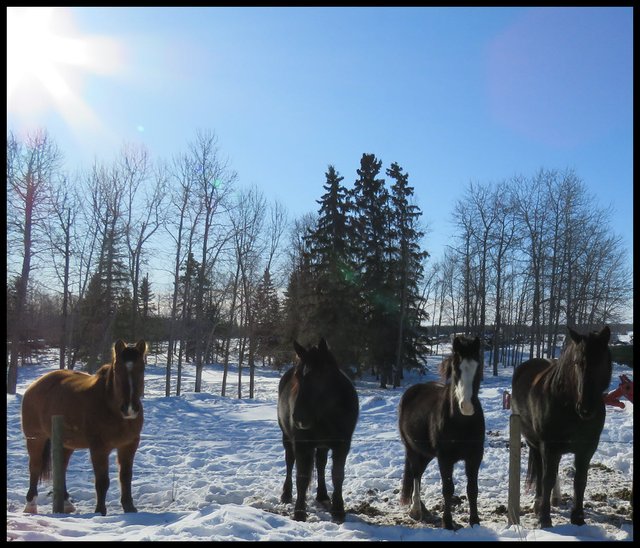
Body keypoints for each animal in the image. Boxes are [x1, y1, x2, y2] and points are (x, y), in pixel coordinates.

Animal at [21, 340, 148, 516]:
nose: (129, 408)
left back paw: (66, 503)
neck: (110, 406)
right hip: (35, 438)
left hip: (66, 443)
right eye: (118, 370)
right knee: (35, 467)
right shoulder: (99, 448)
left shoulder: (129, 445)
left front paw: (129, 508)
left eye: (141, 369)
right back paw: (31, 505)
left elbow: (125, 476)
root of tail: (34, 385)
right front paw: (100, 511)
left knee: (61, 468)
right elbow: (102, 481)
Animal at [276, 338, 360, 524]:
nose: (299, 417)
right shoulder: (302, 445)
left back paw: (322, 495)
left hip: (322, 445)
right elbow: (302, 477)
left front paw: (338, 510)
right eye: (298, 376)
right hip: (287, 438)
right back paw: (286, 494)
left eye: (320, 375)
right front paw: (299, 513)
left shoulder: (342, 445)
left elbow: (337, 475)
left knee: (321, 464)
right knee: (289, 462)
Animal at [398, 336, 482, 528]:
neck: (462, 424)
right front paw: (448, 523)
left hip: (426, 453)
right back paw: (416, 510)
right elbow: (448, 489)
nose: (467, 407)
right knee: (415, 474)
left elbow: (472, 489)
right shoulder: (445, 459)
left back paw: (423, 510)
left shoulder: (474, 457)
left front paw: (475, 521)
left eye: (478, 368)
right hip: (412, 449)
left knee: (419, 473)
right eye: (456, 370)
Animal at [512, 326, 612, 528]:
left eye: (601, 361)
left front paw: (578, 518)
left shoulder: (587, 448)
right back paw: (538, 504)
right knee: (540, 470)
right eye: (577, 363)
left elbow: (580, 480)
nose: (586, 408)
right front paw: (545, 520)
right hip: (534, 443)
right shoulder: (550, 446)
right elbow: (548, 479)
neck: (569, 406)